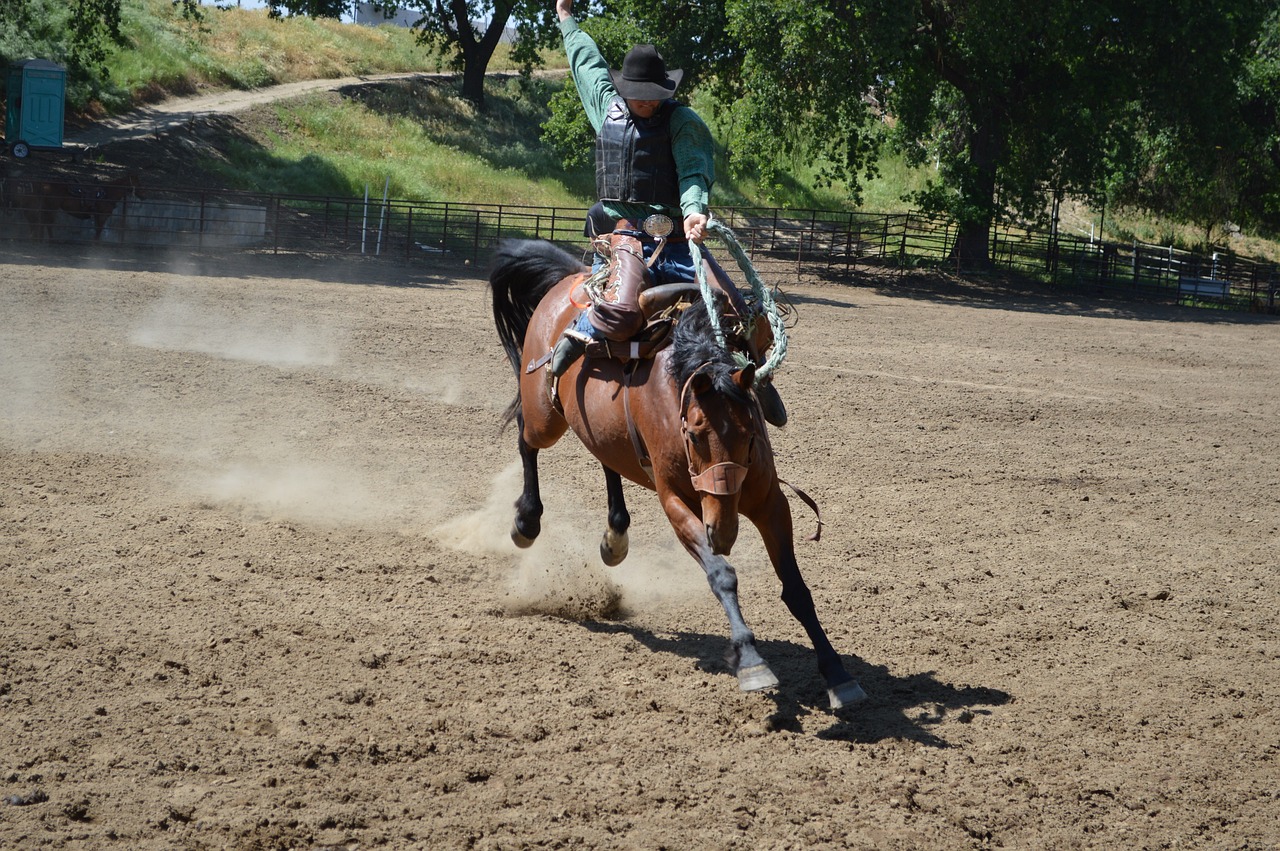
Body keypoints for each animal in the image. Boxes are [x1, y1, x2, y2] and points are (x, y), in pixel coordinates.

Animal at [488, 232, 870, 711]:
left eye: (751, 433)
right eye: (692, 433)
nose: (723, 530)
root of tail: (570, 279)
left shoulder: (770, 500)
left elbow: (796, 589)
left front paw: (838, 674)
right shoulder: (675, 503)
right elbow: (722, 575)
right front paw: (751, 661)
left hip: (597, 427)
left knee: (606, 460)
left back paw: (615, 536)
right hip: (545, 415)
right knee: (526, 439)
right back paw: (527, 521)